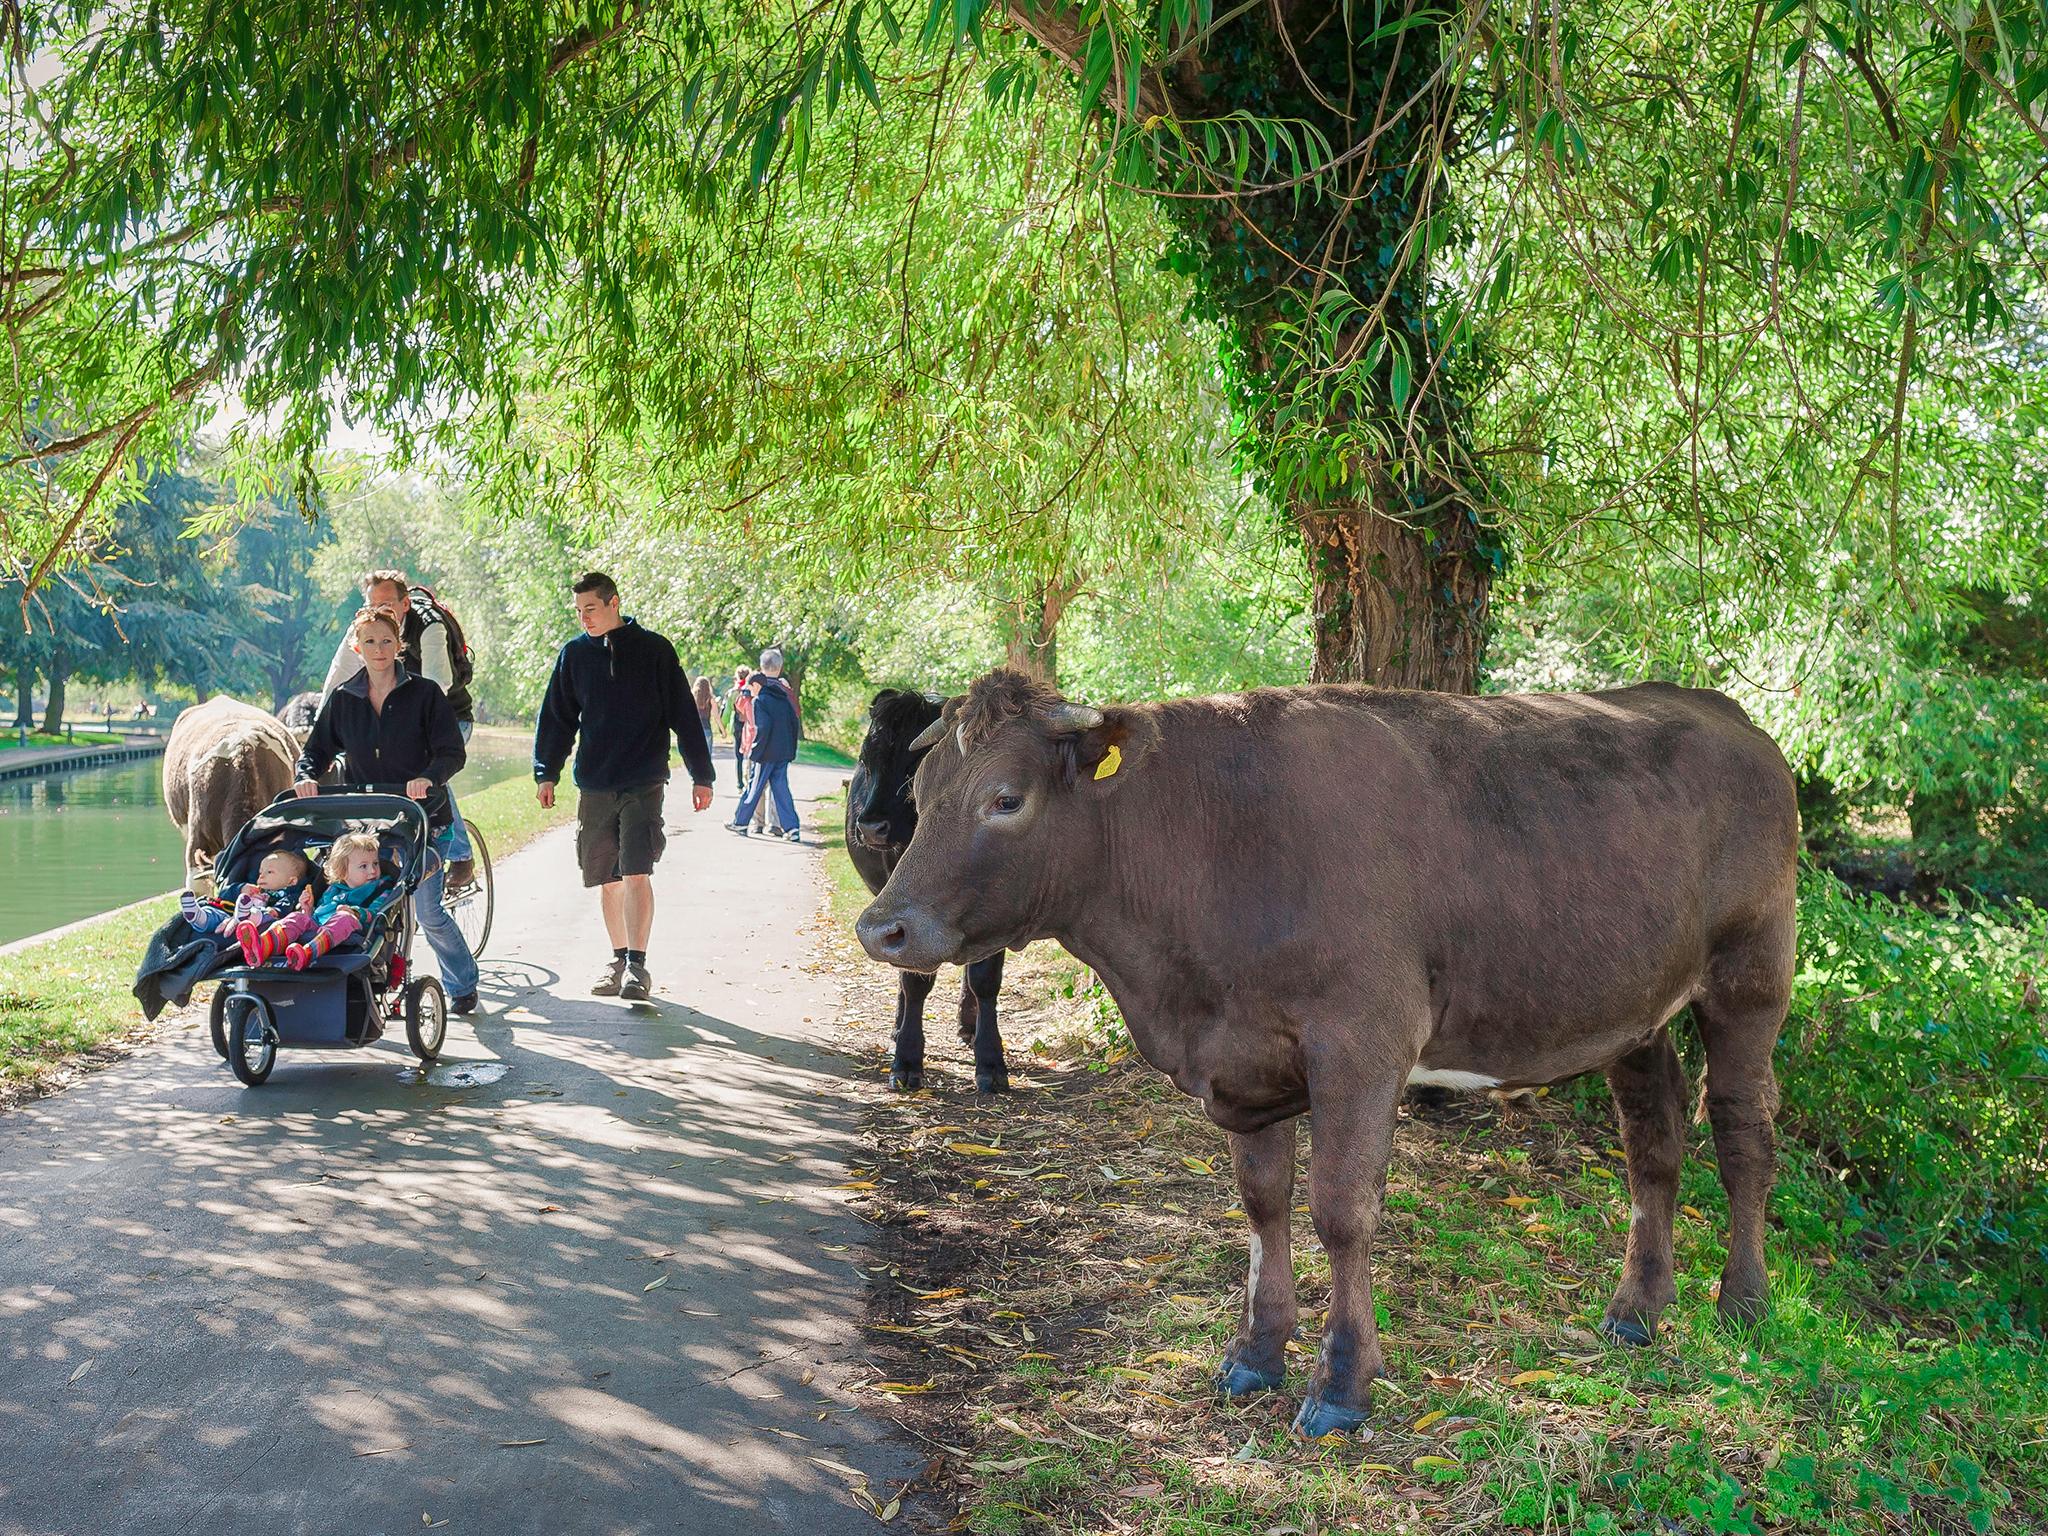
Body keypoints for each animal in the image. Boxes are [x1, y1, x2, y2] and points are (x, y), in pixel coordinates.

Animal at [843, 684, 1011, 1097]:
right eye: (866, 760)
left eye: (914, 766)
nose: (870, 827)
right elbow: (913, 979)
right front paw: (906, 1060)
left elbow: (985, 979)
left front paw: (990, 1061)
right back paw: (898, 1024)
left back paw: (968, 1024)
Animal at [860, 671, 1794, 1441]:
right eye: (922, 791)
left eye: (1006, 799)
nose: (882, 928)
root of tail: (1721, 710)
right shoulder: (1243, 1059)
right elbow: (1262, 1201)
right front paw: (1255, 1355)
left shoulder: (1362, 1042)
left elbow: (1341, 1212)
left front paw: (1343, 1384)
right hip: (1637, 1006)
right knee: (1654, 1140)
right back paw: (1638, 1307)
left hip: (1752, 975)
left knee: (1742, 1133)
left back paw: (1743, 1303)